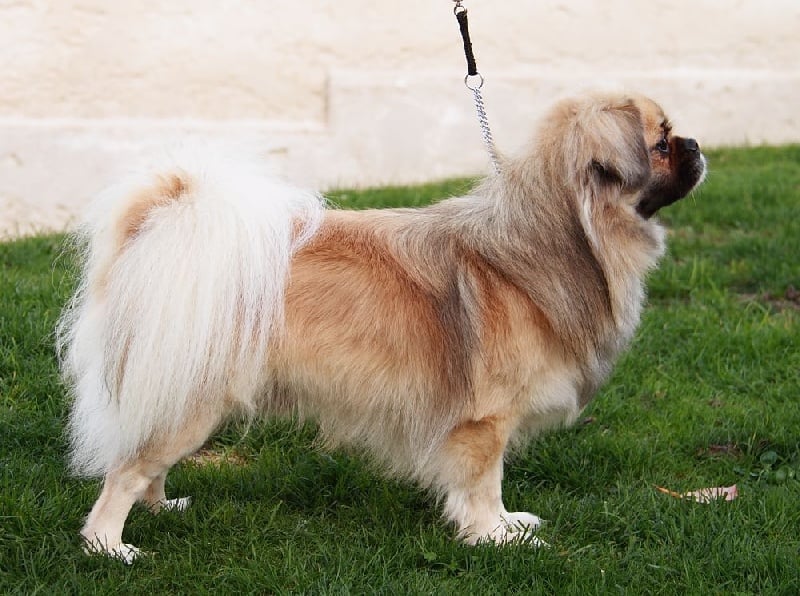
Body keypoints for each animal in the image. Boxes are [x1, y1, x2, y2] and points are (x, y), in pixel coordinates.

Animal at [57, 92, 706, 563]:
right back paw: (110, 547)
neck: (558, 240)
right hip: (193, 398)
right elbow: (483, 484)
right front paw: (494, 537)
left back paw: (162, 508)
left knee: (146, 464)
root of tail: (158, 231)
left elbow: (490, 488)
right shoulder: (484, 422)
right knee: (124, 472)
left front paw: (508, 526)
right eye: (662, 143)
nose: (698, 144)